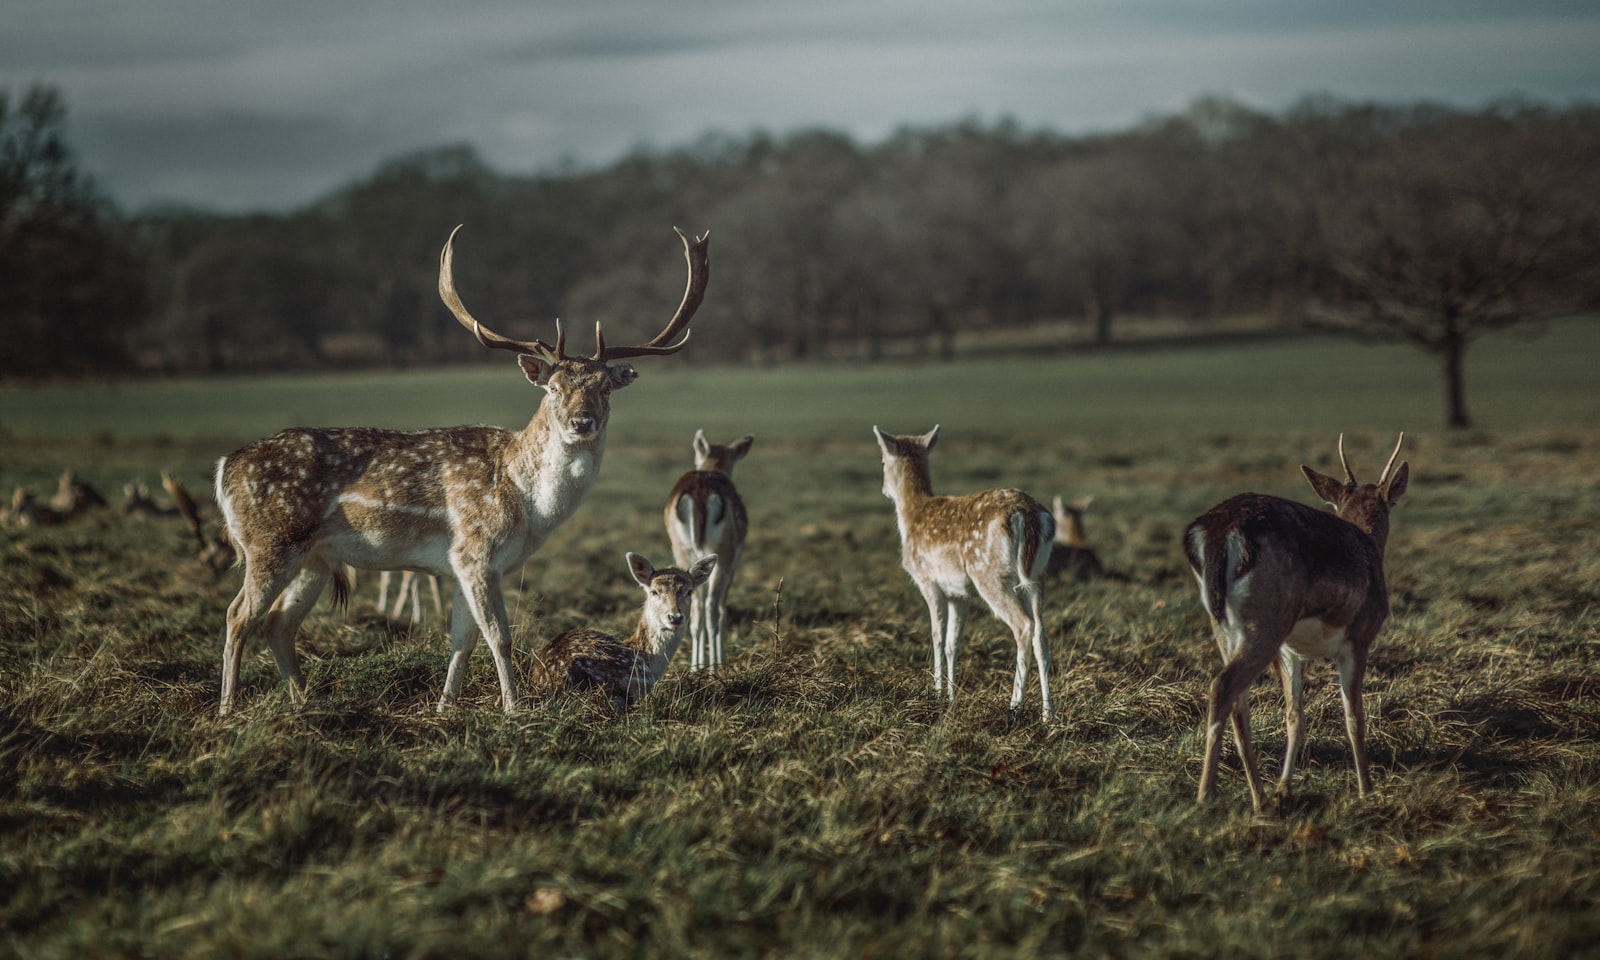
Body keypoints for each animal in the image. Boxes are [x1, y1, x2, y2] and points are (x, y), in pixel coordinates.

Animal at [665, 432, 758, 672]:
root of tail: (699, 495)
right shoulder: (733, 562)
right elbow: (723, 608)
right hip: (723, 554)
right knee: (711, 607)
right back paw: (715, 668)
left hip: (683, 551)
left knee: (695, 608)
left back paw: (696, 668)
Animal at [870, 428, 1056, 720]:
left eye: (882, 461)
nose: (884, 489)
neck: (912, 516)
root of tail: (1030, 516)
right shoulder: (960, 594)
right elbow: (952, 643)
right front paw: (951, 695)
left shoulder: (928, 582)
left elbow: (936, 637)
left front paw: (936, 692)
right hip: (1039, 576)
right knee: (1041, 633)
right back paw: (1049, 715)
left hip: (990, 575)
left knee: (1023, 626)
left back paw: (1015, 706)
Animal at [1184, 432, 1408, 812]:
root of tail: (1214, 533)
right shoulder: (1359, 638)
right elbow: (1354, 716)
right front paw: (1366, 790)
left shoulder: (1291, 651)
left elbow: (1294, 715)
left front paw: (1284, 788)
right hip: (1266, 623)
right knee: (1223, 686)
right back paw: (1205, 796)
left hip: (1225, 627)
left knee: (1238, 703)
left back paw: (1260, 798)